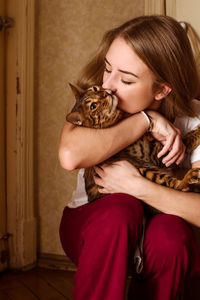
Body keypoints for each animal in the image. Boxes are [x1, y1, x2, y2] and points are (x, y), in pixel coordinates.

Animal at [66, 84, 200, 202]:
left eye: (95, 88)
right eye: (93, 106)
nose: (105, 93)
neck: (122, 117)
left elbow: (185, 142)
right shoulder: (161, 156)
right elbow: (186, 142)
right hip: (145, 170)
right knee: (179, 187)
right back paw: (190, 177)